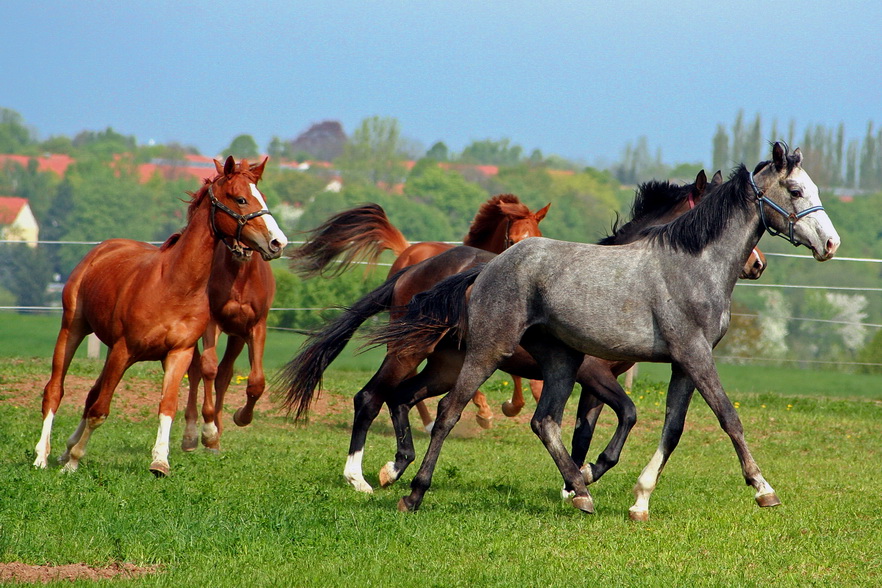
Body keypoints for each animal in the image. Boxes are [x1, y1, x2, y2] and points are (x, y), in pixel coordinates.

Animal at [30, 157, 286, 478]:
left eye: (261, 196)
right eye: (240, 199)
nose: (278, 242)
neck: (174, 285)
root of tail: (103, 248)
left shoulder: (178, 353)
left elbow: (166, 405)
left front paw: (160, 462)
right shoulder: (124, 349)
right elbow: (100, 410)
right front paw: (74, 461)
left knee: (91, 394)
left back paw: (65, 449)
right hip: (73, 329)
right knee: (55, 391)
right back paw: (43, 456)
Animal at [292, 193, 548, 428]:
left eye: (539, 235)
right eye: (512, 239)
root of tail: (407, 253)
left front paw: (512, 405)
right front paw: (486, 412)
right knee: (408, 372)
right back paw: (428, 422)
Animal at [384, 142, 840, 520]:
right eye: (795, 190)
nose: (830, 244)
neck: (693, 266)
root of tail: (488, 267)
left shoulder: (682, 364)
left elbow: (671, 429)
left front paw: (639, 501)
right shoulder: (693, 355)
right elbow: (728, 417)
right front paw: (764, 490)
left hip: (558, 360)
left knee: (543, 421)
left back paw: (582, 492)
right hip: (487, 351)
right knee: (445, 411)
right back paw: (412, 492)